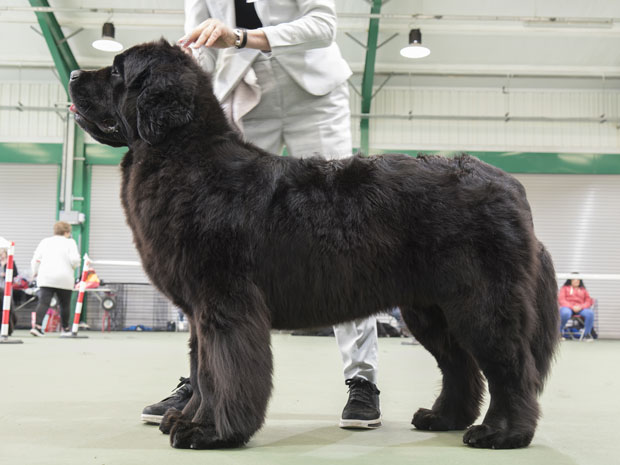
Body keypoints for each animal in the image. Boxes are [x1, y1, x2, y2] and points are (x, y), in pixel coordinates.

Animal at [69, 40, 560, 450]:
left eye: (117, 70)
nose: (73, 74)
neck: (183, 155)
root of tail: (510, 184)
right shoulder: (198, 311)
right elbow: (201, 369)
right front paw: (186, 418)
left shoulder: (225, 301)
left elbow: (222, 370)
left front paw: (209, 432)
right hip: (430, 309)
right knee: (460, 365)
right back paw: (444, 418)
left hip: (480, 301)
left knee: (510, 367)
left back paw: (503, 433)